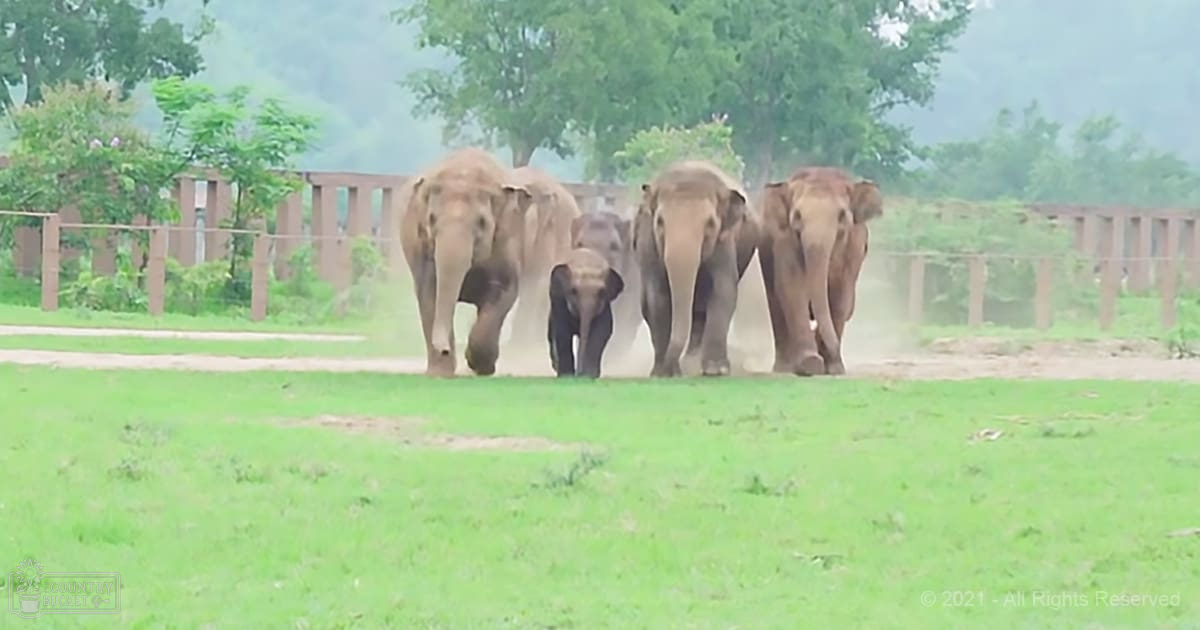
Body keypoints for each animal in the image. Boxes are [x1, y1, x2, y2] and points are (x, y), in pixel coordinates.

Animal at [398, 147, 533, 377]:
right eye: (431, 219)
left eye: (482, 223)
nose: (443, 348)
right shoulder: (422, 248)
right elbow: (429, 292)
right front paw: (440, 373)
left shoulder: (507, 244)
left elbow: (503, 291)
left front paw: (480, 366)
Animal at [547, 247, 625, 378]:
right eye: (573, 291)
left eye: (602, 292)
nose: (578, 373)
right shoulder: (559, 301)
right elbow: (562, 332)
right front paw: (566, 376)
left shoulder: (605, 306)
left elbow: (602, 331)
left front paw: (589, 376)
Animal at [632, 160, 760, 377]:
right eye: (660, 222)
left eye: (710, 224)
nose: (673, 370)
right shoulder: (647, 241)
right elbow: (657, 297)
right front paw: (661, 374)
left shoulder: (725, 241)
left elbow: (723, 290)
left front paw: (715, 371)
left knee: (700, 310)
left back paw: (693, 359)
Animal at [758, 166, 883, 376]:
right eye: (797, 216)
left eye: (842, 216)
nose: (834, 350)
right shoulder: (784, 241)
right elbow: (792, 288)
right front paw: (811, 363)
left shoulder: (854, 248)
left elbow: (841, 296)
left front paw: (834, 368)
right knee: (776, 305)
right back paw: (785, 367)